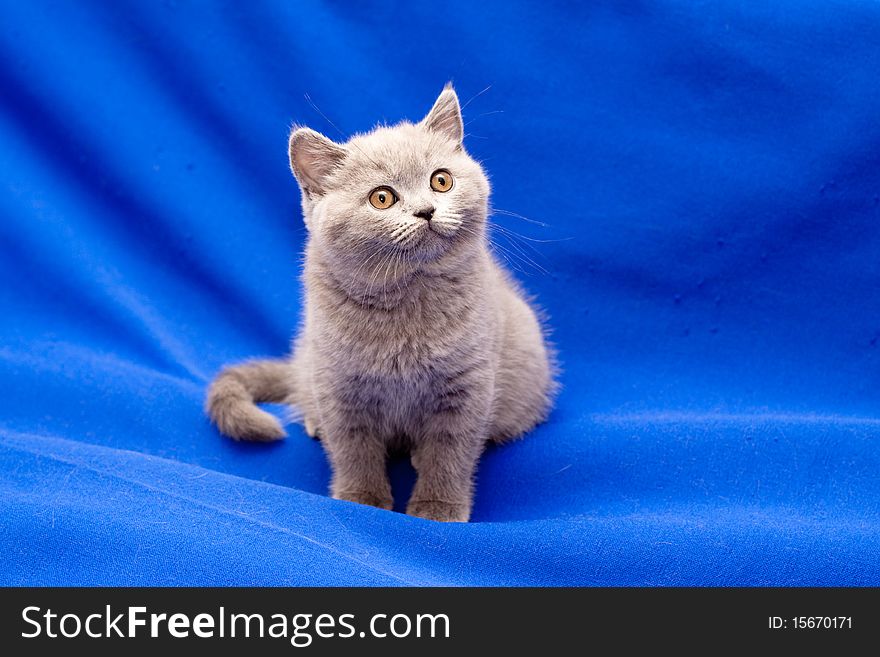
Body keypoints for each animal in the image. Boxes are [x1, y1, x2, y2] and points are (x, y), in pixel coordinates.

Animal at [206, 84, 556, 520]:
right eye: (383, 198)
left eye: (442, 180)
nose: (426, 211)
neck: (406, 302)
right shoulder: (338, 386)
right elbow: (353, 449)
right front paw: (361, 498)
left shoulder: (468, 386)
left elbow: (450, 452)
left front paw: (437, 507)